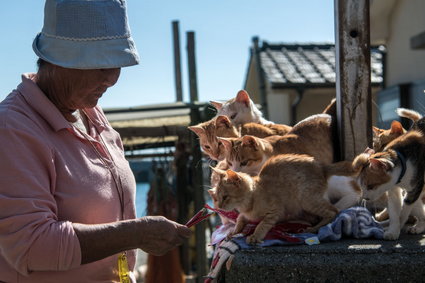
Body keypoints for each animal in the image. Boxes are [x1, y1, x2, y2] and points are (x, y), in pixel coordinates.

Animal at [209, 154, 358, 245]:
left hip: (307, 200)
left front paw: (255, 236)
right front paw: (234, 232)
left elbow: (262, 224)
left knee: (334, 211)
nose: (219, 206)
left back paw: (314, 228)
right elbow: (240, 219)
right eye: (217, 198)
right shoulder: (246, 215)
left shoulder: (275, 211)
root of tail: (320, 166)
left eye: (225, 197)